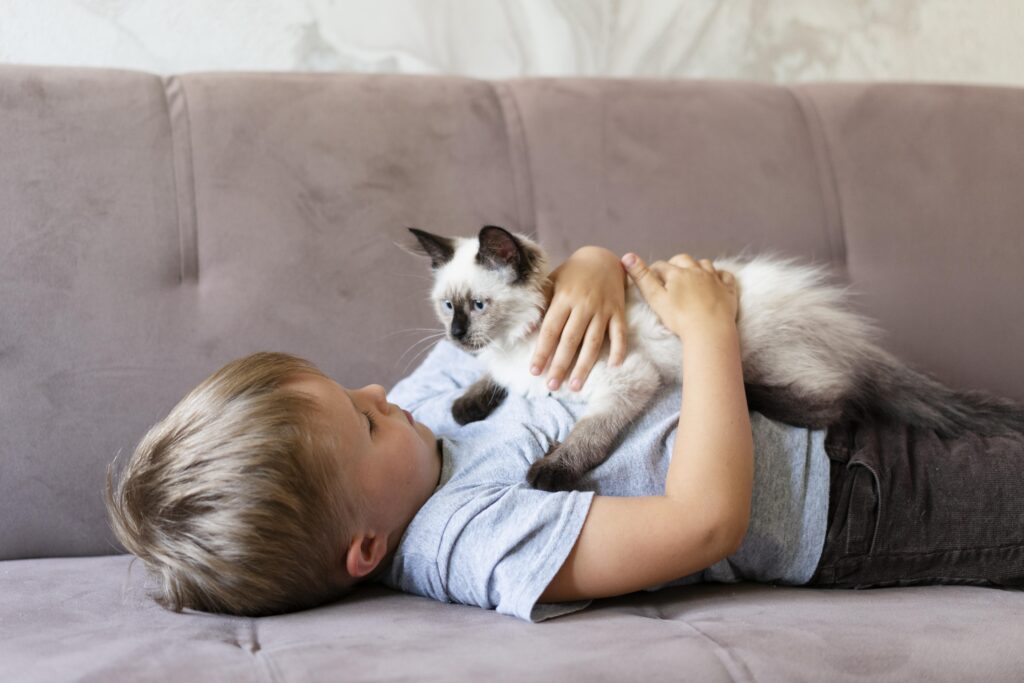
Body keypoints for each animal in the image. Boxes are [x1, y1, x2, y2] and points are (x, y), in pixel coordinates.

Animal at [407, 225, 1024, 491]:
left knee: (838, 403)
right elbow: (488, 384)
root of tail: (851, 336)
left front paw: (549, 472)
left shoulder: (627, 379)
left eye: (478, 306)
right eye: (447, 307)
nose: (457, 335)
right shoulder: (511, 369)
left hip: (763, 357)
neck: (519, 343)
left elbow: (586, 436)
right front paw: (466, 405)